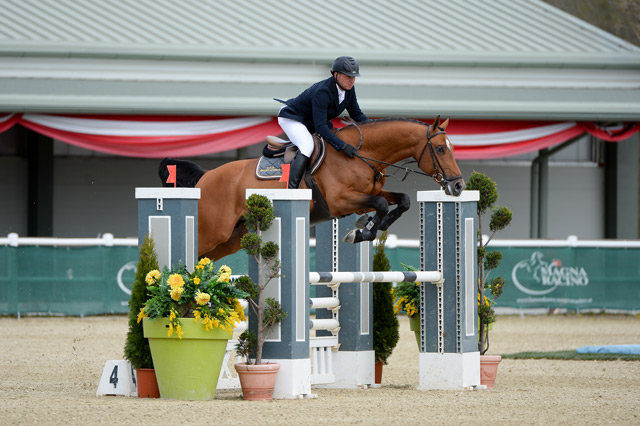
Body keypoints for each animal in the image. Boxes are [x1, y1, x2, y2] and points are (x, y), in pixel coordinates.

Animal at [160, 115, 464, 262]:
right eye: (440, 149)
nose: (459, 185)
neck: (361, 153)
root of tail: (205, 177)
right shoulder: (341, 201)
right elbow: (379, 205)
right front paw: (361, 231)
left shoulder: (368, 195)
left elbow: (401, 201)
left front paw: (364, 228)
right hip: (214, 232)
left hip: (232, 238)